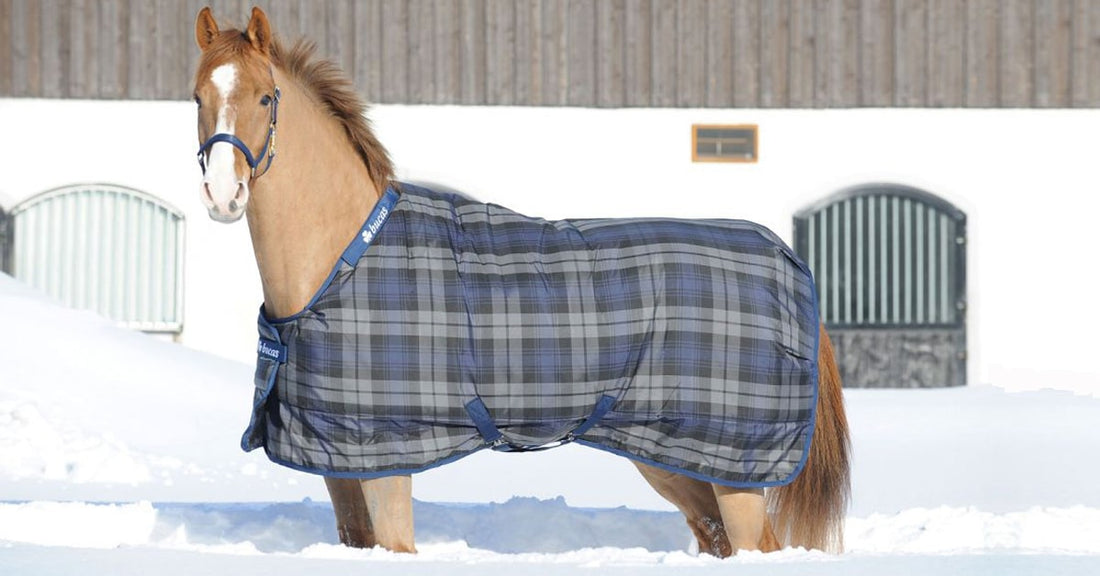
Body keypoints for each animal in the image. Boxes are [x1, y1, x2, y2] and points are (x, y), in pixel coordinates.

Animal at [193, 6, 850, 558]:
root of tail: (789, 260)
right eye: (198, 97)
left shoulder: (386, 461)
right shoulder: (340, 462)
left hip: (731, 468)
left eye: (265, 97)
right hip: (678, 459)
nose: (224, 195)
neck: (343, 259)